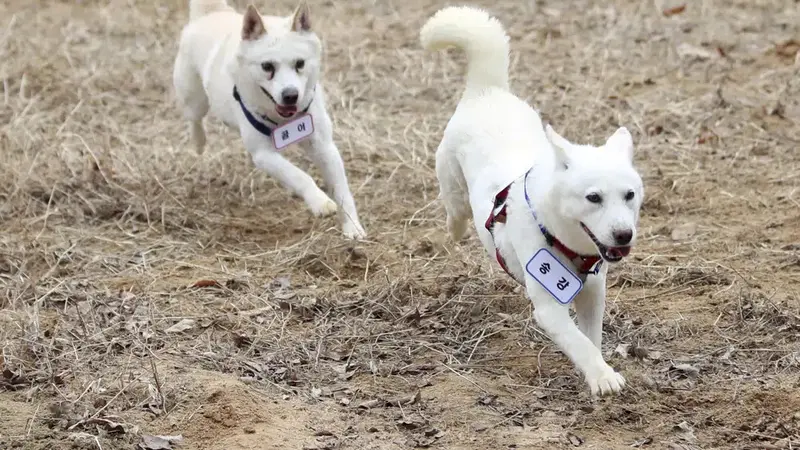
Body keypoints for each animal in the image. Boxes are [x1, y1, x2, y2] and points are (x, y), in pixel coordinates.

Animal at [173, 0, 368, 241]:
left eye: (300, 63)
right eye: (267, 67)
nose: (291, 95)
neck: (284, 119)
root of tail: (212, 13)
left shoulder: (324, 146)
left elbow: (342, 190)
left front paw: (352, 227)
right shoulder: (263, 155)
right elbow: (299, 175)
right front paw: (320, 202)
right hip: (195, 99)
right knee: (194, 118)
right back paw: (199, 143)